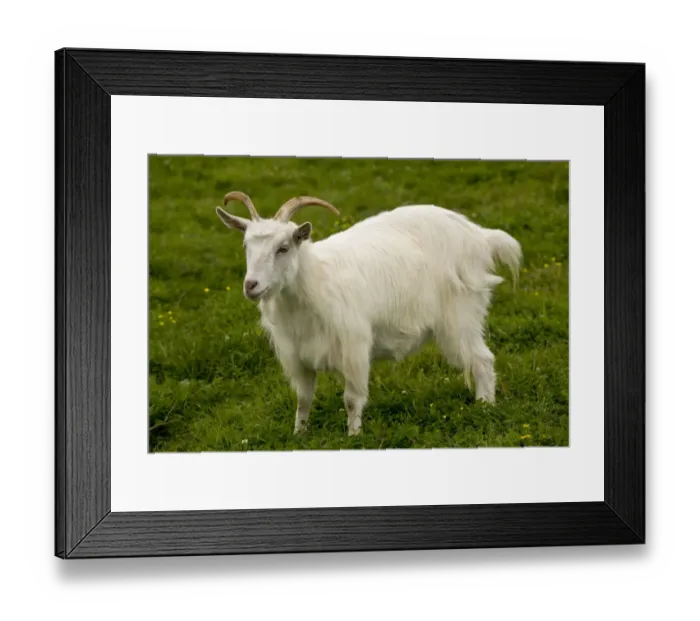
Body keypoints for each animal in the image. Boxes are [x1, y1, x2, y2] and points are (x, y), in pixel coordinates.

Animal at [216, 191, 522, 437]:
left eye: (283, 248)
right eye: (246, 246)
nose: (251, 285)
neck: (314, 281)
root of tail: (480, 236)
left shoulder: (354, 347)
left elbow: (351, 399)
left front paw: (354, 437)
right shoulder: (297, 355)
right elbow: (303, 399)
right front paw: (298, 435)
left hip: (461, 315)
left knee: (482, 360)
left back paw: (484, 408)